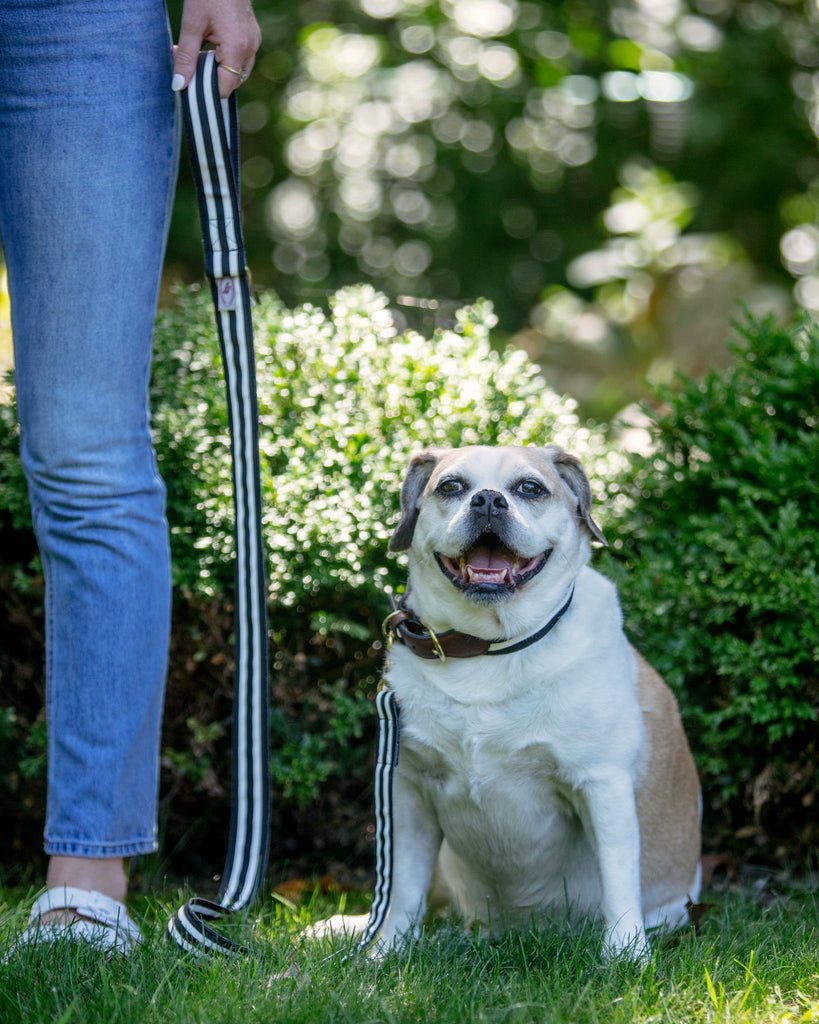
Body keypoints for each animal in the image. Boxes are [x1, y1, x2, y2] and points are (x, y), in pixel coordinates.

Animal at [311, 446, 700, 958]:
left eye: (530, 488)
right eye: (451, 486)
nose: (489, 500)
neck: (488, 648)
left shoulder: (602, 784)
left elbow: (618, 882)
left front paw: (625, 956)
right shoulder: (410, 792)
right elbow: (402, 893)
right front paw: (385, 954)